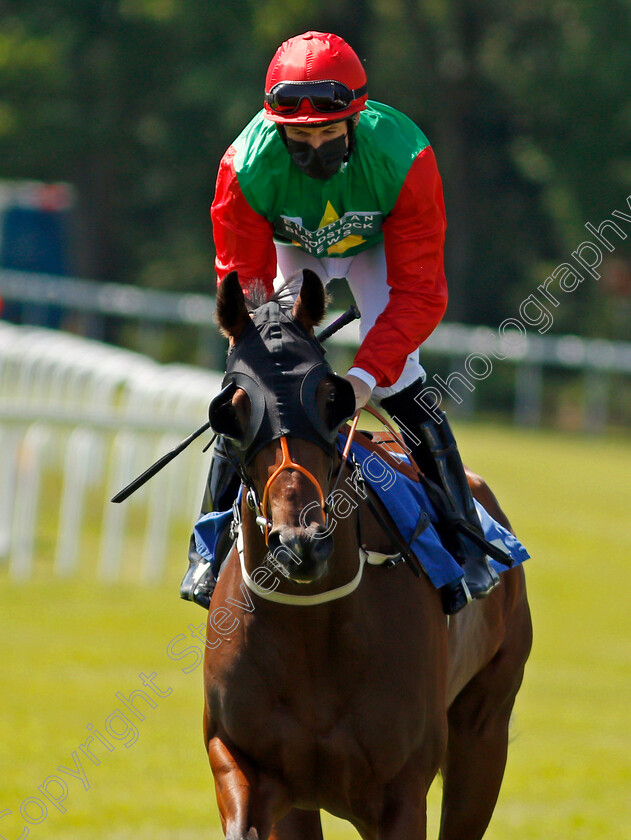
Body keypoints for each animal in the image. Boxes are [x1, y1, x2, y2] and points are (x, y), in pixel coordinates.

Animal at [202, 270, 532, 840]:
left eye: (329, 400)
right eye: (232, 410)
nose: (300, 543)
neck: (309, 627)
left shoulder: (400, 794)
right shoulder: (243, 763)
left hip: (484, 729)